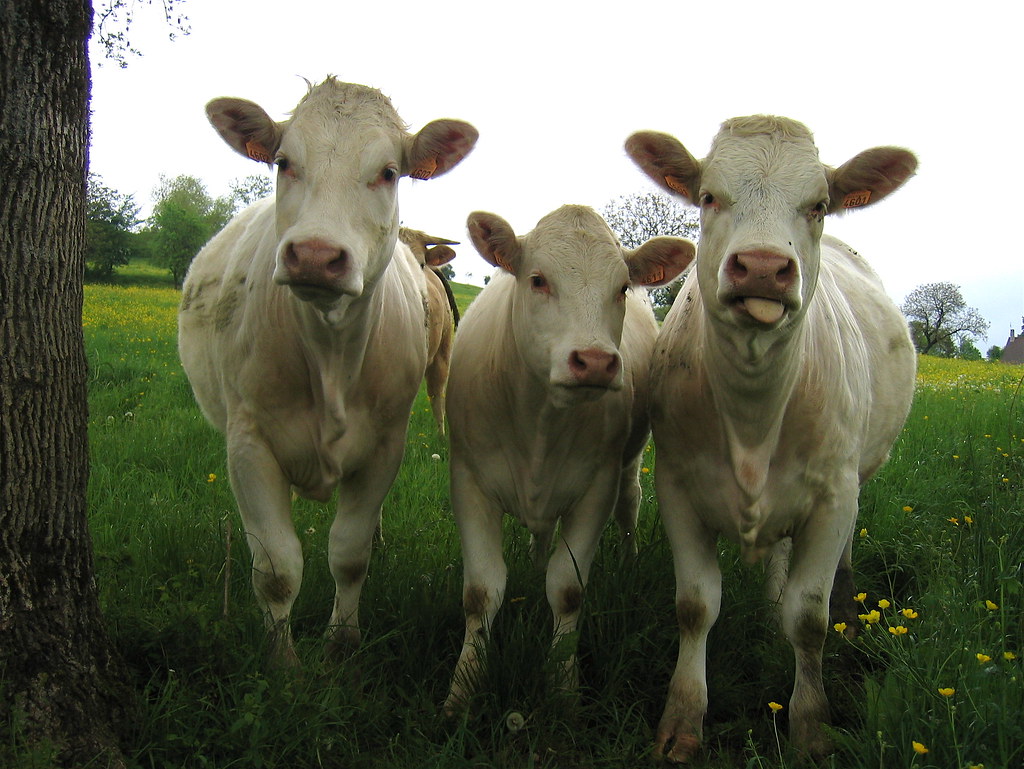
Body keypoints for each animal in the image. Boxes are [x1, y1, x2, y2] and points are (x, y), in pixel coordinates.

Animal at [179, 79, 475, 667]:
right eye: (284, 161)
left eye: (389, 171)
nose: (315, 255)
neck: (331, 357)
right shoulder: (248, 444)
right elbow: (275, 568)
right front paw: (283, 663)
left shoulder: (385, 444)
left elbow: (350, 553)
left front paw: (342, 642)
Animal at [444, 205, 692, 716]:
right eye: (538, 280)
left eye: (621, 287)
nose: (595, 361)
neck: (540, 421)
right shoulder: (469, 482)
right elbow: (481, 592)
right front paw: (462, 691)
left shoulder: (595, 490)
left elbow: (567, 588)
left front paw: (562, 690)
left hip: (629, 464)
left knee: (630, 505)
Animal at [622, 117, 921, 761]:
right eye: (709, 197)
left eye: (820, 205)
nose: (761, 266)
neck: (753, 418)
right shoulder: (678, 487)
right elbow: (695, 606)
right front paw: (682, 721)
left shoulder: (833, 497)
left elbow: (808, 619)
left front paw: (811, 727)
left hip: (853, 483)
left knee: (838, 565)